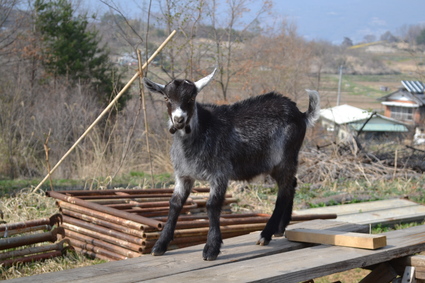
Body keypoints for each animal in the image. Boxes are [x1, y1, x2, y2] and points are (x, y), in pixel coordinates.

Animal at [142, 69, 318, 262]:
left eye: (192, 97)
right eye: (166, 98)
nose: (179, 119)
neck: (200, 131)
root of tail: (301, 114)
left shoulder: (219, 173)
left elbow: (212, 205)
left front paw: (211, 248)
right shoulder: (183, 176)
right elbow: (174, 204)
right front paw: (160, 245)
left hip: (286, 157)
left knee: (284, 193)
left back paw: (266, 234)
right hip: (276, 164)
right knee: (291, 185)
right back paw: (279, 229)